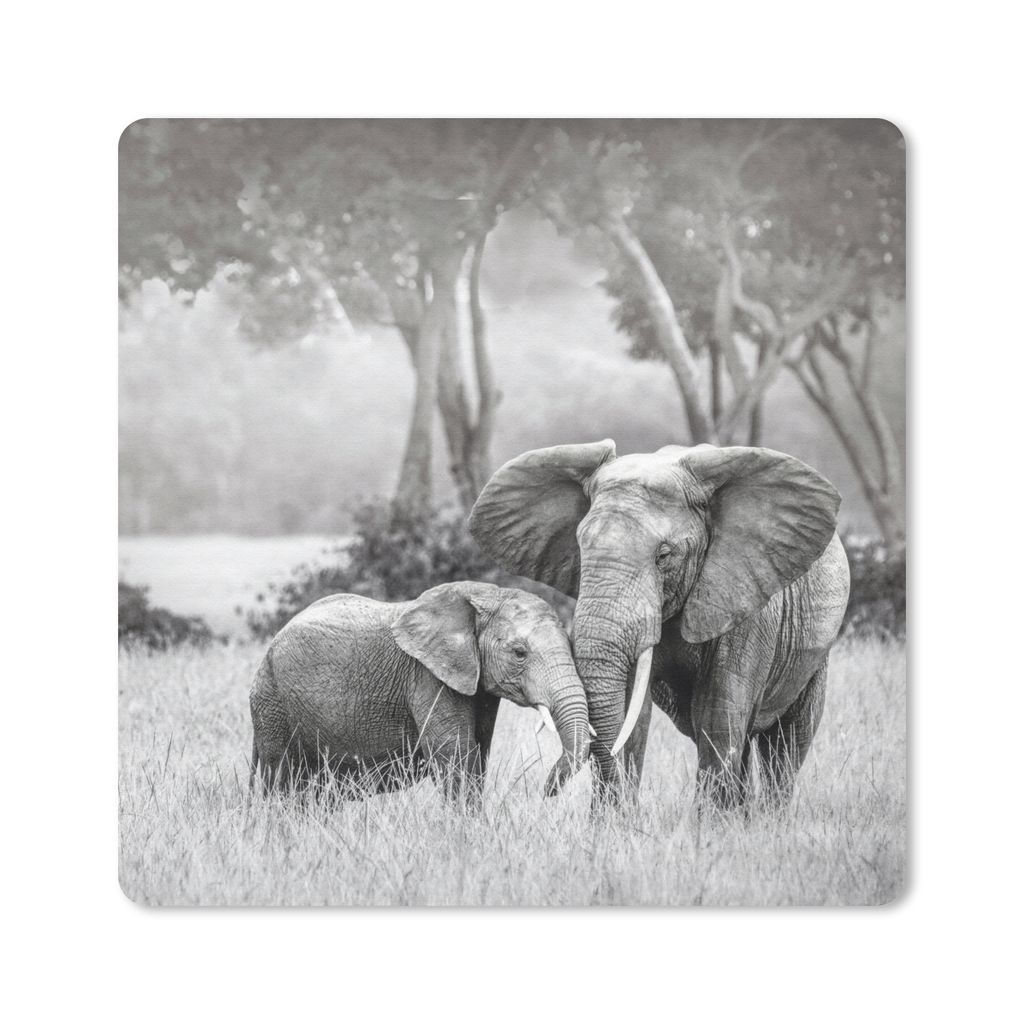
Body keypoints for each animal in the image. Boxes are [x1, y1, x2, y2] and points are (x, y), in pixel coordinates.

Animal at [249, 581, 591, 804]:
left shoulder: (477, 685)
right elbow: (455, 755)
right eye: (520, 653)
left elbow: (478, 753)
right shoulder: (427, 675)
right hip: (272, 704)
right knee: (282, 780)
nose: (546, 792)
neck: (486, 594)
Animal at [469, 440, 850, 812]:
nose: (546, 789)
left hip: (814, 652)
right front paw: (614, 821)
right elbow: (631, 713)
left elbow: (719, 714)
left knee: (787, 743)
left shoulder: (748, 598)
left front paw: (710, 827)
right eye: (580, 547)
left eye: (664, 556)